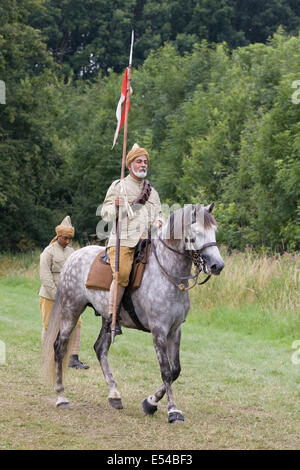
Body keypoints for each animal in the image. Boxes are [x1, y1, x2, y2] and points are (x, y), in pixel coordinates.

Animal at [43, 204, 224, 424]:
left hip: (108, 319)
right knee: (60, 348)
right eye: (196, 233)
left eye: (214, 230)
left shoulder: (175, 330)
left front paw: (150, 402)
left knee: (100, 349)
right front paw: (172, 410)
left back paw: (114, 395)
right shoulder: (159, 330)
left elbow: (175, 370)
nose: (217, 265)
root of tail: (73, 257)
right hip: (71, 309)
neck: (168, 274)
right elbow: (166, 371)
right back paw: (61, 396)